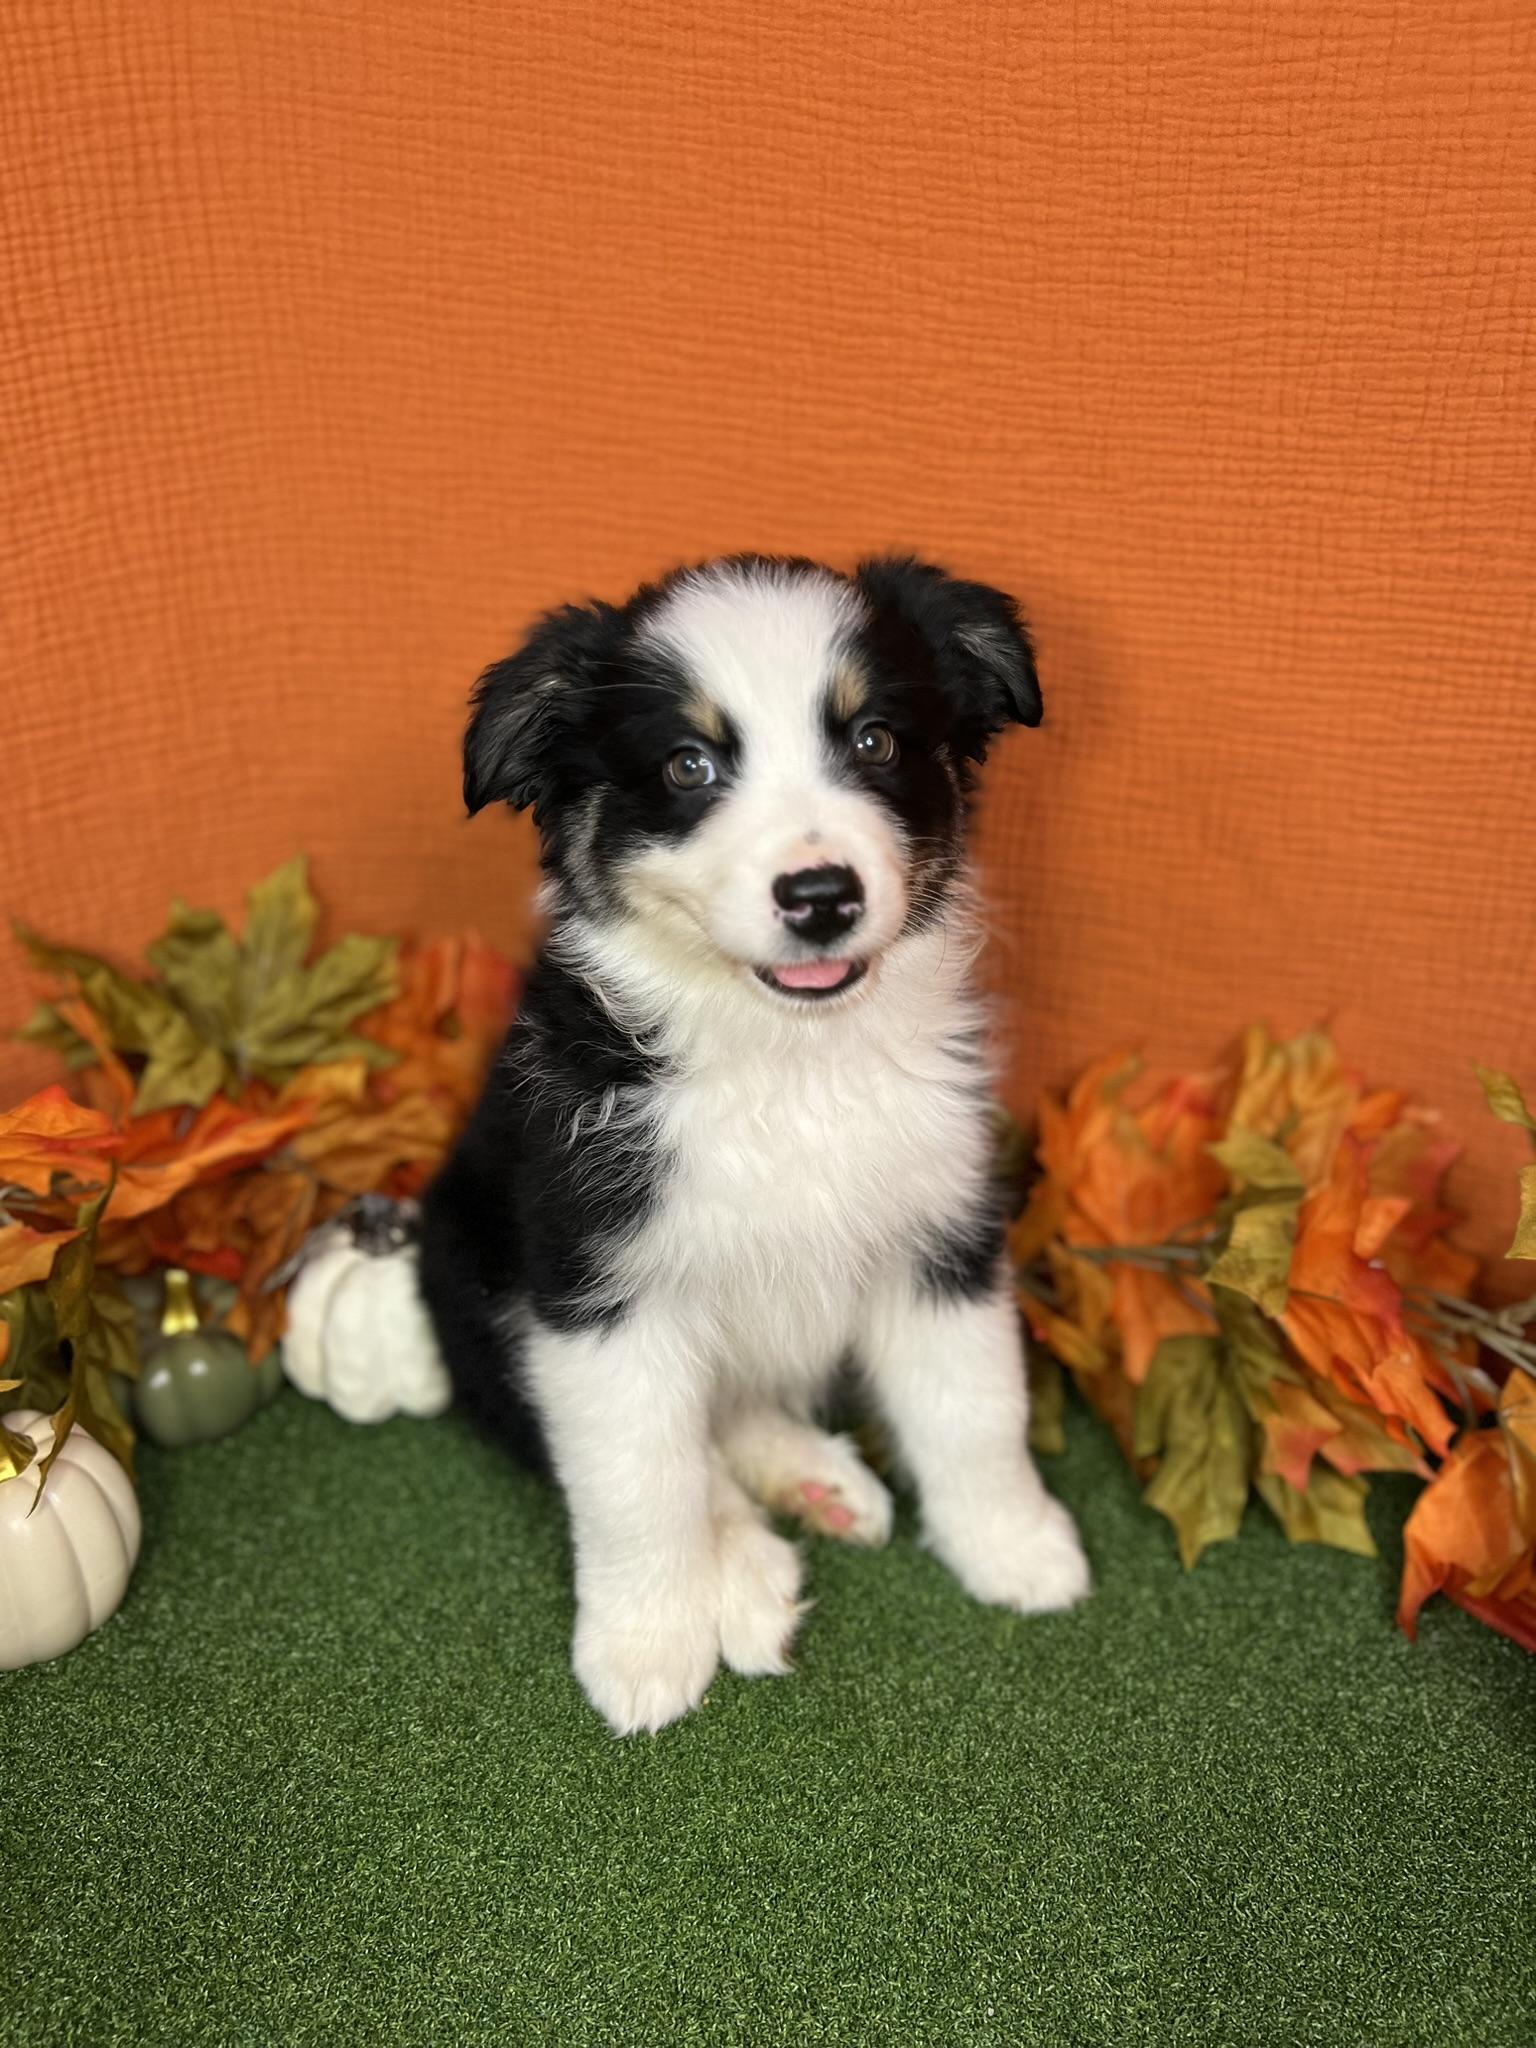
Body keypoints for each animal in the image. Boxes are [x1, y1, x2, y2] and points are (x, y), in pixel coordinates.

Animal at [417, 552, 1090, 1734]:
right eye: (688, 765)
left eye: (874, 741)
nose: (820, 896)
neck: (789, 1059)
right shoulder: (594, 1282)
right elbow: (636, 1476)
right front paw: (646, 1645)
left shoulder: (944, 1228)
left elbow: (976, 1406)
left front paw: (1014, 1546)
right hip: (462, 1269)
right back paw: (741, 1565)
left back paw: (817, 1484)